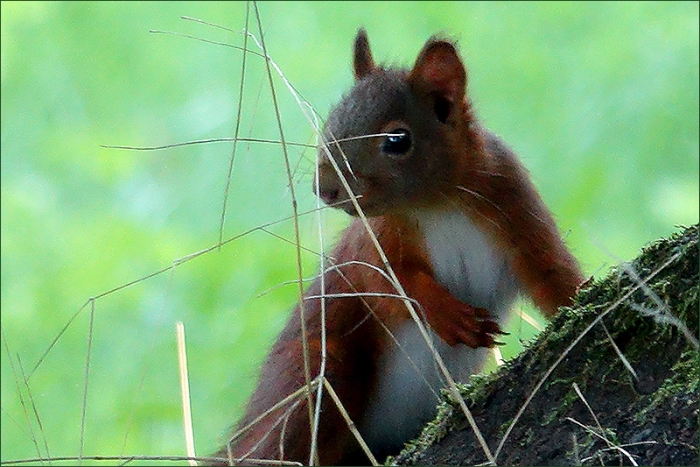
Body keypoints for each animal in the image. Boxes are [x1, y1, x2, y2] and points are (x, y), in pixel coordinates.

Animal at [213, 28, 584, 466]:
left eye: (397, 140)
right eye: (331, 122)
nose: (325, 188)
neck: (438, 204)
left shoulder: (516, 209)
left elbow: (553, 275)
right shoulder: (373, 243)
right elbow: (385, 286)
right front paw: (447, 314)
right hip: (317, 376)